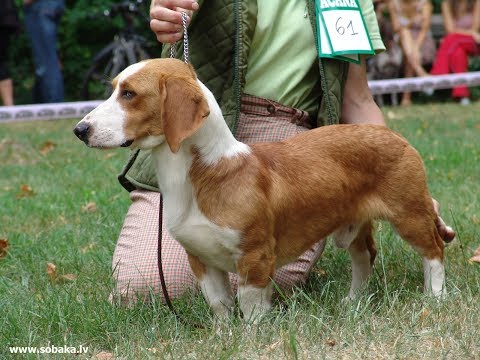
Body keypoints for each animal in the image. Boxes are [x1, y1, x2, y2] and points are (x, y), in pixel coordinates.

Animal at [74, 58, 450, 320]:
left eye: (130, 94)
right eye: (114, 88)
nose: (80, 130)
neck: (202, 175)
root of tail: (394, 135)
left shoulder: (255, 257)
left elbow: (251, 305)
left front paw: (252, 338)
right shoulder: (201, 259)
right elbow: (220, 304)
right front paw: (224, 335)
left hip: (410, 214)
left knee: (433, 251)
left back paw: (435, 297)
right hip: (352, 228)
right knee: (365, 256)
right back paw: (354, 301)